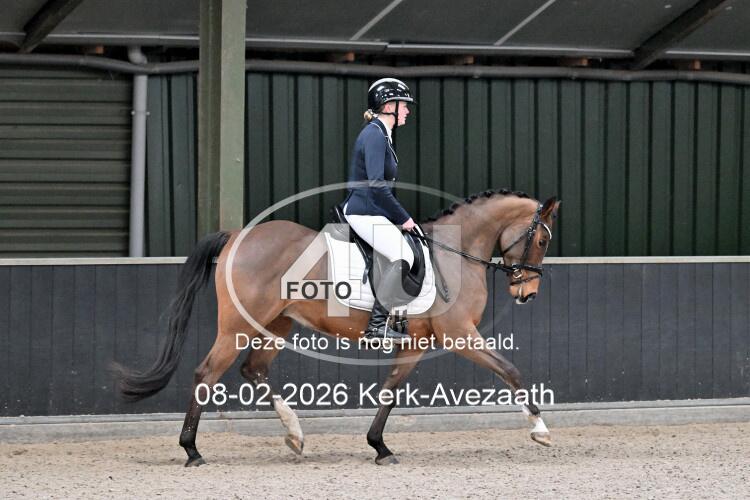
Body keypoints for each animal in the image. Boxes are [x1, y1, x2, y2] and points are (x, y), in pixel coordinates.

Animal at [114, 188, 560, 466]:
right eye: (541, 240)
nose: (528, 293)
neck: (456, 251)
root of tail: (238, 235)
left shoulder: (416, 341)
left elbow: (391, 389)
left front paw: (379, 446)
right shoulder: (459, 334)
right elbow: (509, 370)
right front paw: (540, 430)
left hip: (277, 324)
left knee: (253, 369)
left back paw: (295, 435)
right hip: (236, 326)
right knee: (206, 374)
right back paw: (192, 451)